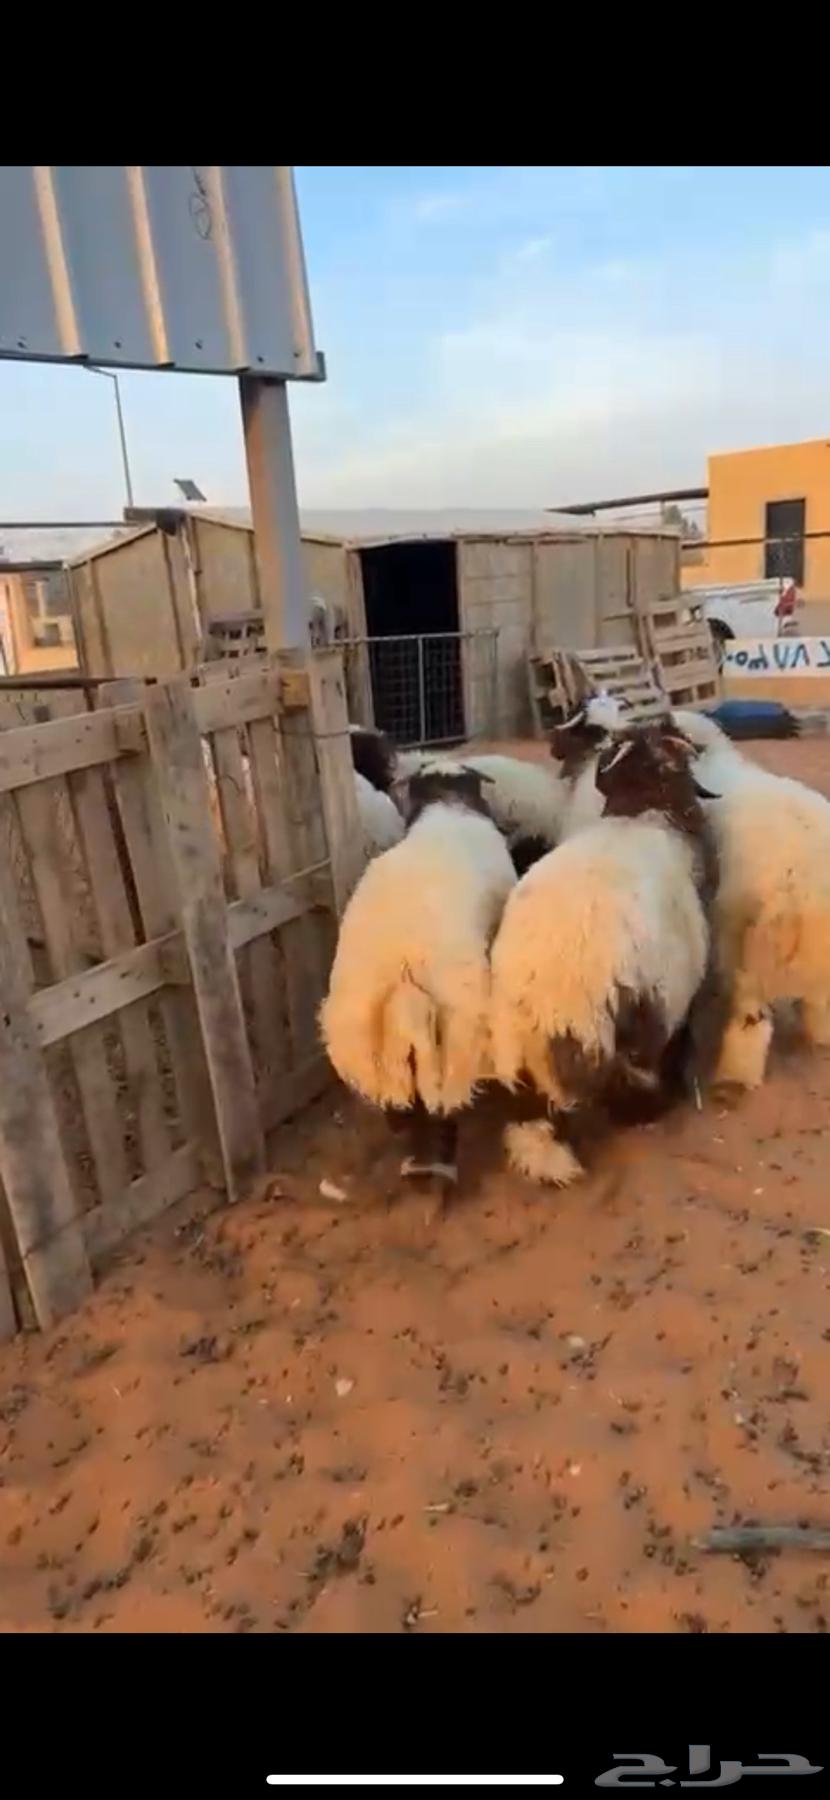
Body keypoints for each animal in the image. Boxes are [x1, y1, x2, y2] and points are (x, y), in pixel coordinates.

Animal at [319, 758, 517, 1199]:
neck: (447, 806)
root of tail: (403, 965)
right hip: (456, 1029)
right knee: (442, 1105)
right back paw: (439, 1167)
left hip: (365, 1040)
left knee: (400, 1104)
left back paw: (415, 1163)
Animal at [669, 707, 830, 1090]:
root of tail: (801, 888)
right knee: (818, 1003)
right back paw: (820, 1036)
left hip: (744, 947)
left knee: (749, 1020)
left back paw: (734, 1076)